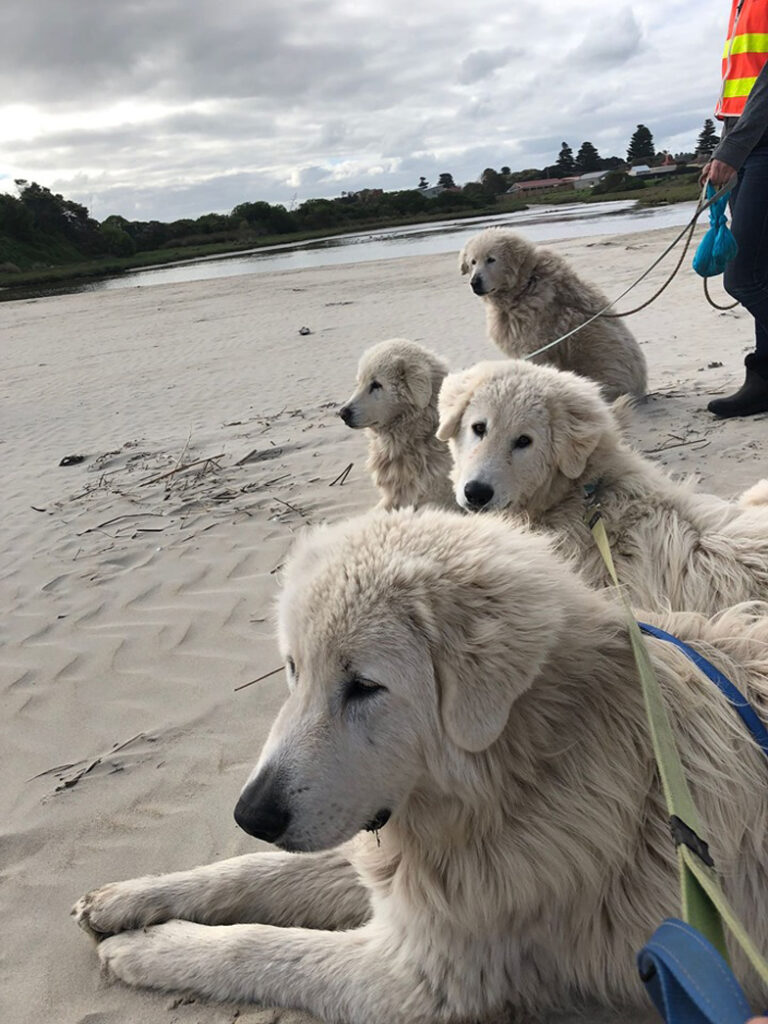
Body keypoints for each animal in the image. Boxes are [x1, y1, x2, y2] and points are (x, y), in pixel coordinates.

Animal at [456, 230, 651, 401]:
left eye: (491, 259)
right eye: (473, 262)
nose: (474, 282)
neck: (526, 285)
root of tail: (640, 389)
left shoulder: (536, 347)